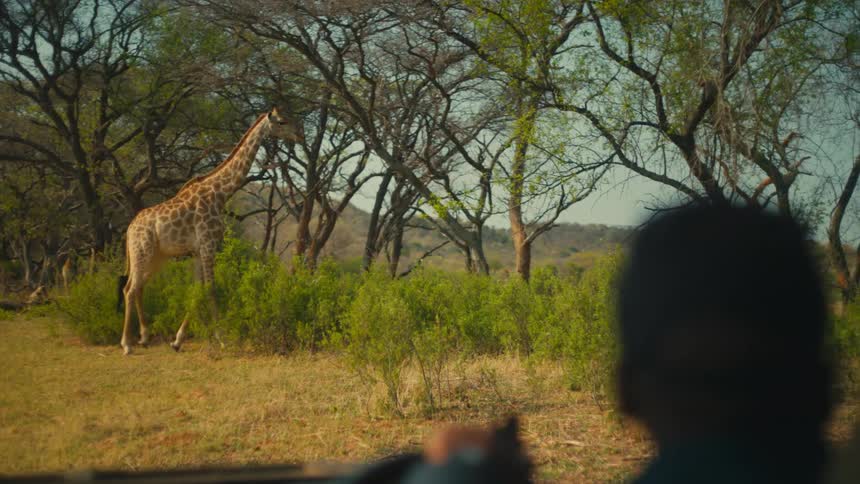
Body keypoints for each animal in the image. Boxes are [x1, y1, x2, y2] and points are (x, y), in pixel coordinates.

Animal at [118, 108, 303, 355]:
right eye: (282, 121)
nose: (301, 134)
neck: (221, 193)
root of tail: (130, 228)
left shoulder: (198, 250)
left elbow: (198, 290)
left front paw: (178, 341)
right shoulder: (208, 245)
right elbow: (211, 289)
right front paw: (221, 337)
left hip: (157, 256)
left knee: (136, 287)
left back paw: (145, 337)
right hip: (142, 251)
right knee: (130, 289)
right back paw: (127, 344)